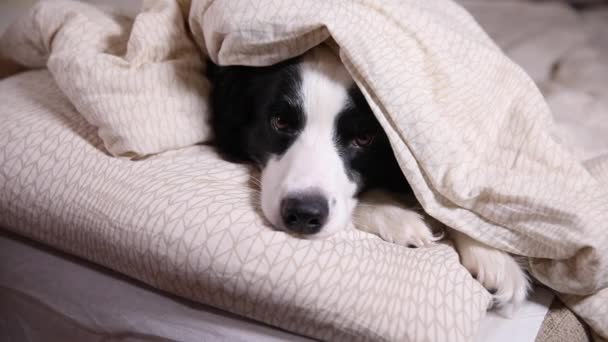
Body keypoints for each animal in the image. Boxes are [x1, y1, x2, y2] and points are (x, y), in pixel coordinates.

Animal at [208, 45, 528, 316]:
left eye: (364, 138)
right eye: (280, 122)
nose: (303, 214)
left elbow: (444, 199)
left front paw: (493, 257)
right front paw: (397, 218)